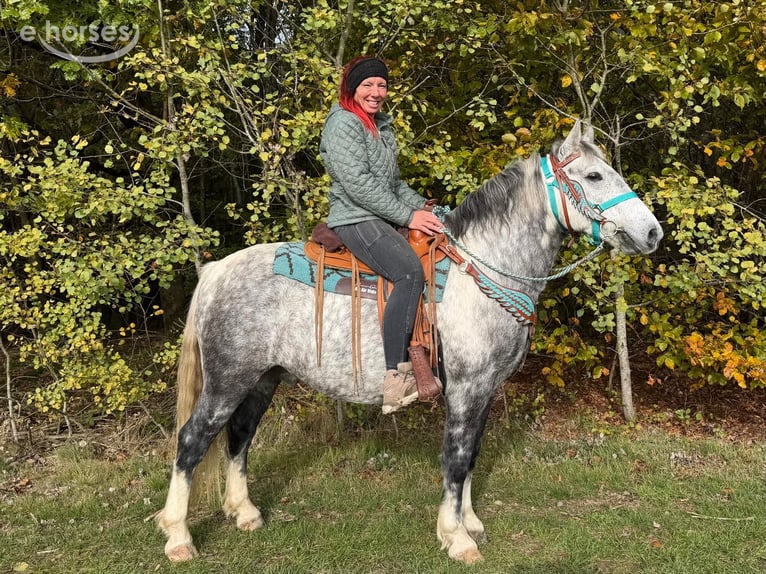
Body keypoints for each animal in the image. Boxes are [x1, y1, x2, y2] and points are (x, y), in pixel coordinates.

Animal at [157, 121, 663, 564]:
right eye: (594, 175)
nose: (653, 232)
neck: (482, 269)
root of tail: (215, 271)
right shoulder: (466, 388)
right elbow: (455, 458)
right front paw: (457, 538)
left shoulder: (484, 389)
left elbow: (471, 454)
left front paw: (469, 522)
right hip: (227, 379)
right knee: (192, 441)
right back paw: (178, 537)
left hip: (264, 378)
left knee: (240, 435)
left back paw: (244, 513)